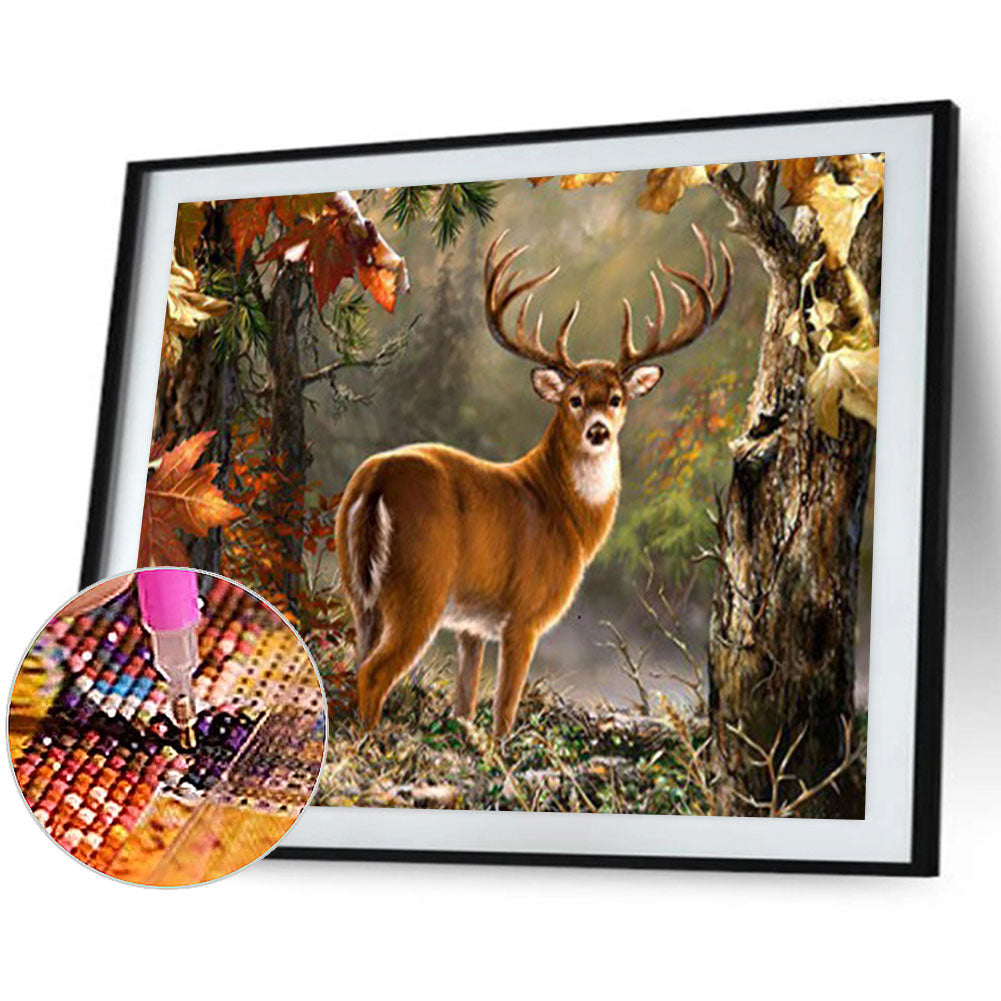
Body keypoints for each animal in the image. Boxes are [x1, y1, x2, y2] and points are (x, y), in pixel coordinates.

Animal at [336, 224, 732, 737]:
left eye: (618, 398)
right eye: (575, 399)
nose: (598, 431)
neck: (565, 515)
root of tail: (376, 479)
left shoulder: (471, 625)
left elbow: (465, 704)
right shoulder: (524, 614)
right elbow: (504, 712)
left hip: (358, 590)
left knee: (355, 662)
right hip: (421, 585)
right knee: (373, 672)